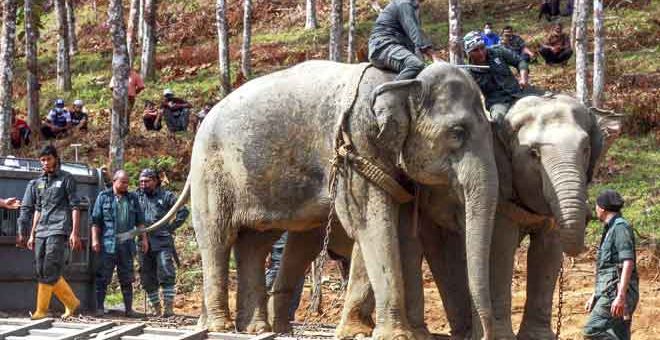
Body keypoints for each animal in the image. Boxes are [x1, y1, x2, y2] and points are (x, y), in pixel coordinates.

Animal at [141, 59, 500, 338]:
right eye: (458, 132)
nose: (485, 333)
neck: (402, 79)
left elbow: (391, 230)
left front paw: (367, 332)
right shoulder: (356, 144)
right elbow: (370, 224)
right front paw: (392, 335)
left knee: (254, 243)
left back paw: (255, 328)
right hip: (211, 174)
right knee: (217, 239)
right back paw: (222, 327)